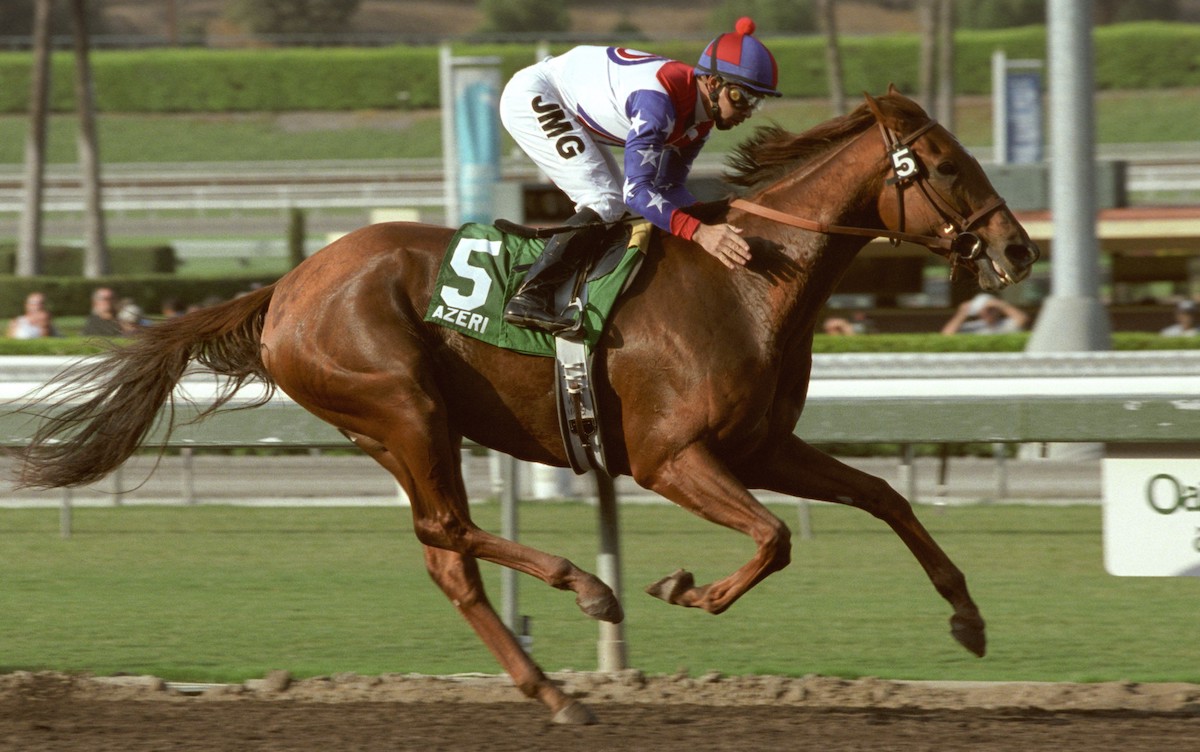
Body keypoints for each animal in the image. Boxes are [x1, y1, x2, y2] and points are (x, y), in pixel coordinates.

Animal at [14, 91, 1036, 724]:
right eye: (944, 164)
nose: (1019, 251)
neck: (748, 283)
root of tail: (286, 287)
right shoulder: (671, 457)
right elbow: (775, 538)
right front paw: (685, 588)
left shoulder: (760, 447)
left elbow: (884, 496)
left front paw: (969, 619)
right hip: (404, 405)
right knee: (447, 528)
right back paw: (583, 585)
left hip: (390, 428)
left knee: (447, 558)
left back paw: (552, 689)